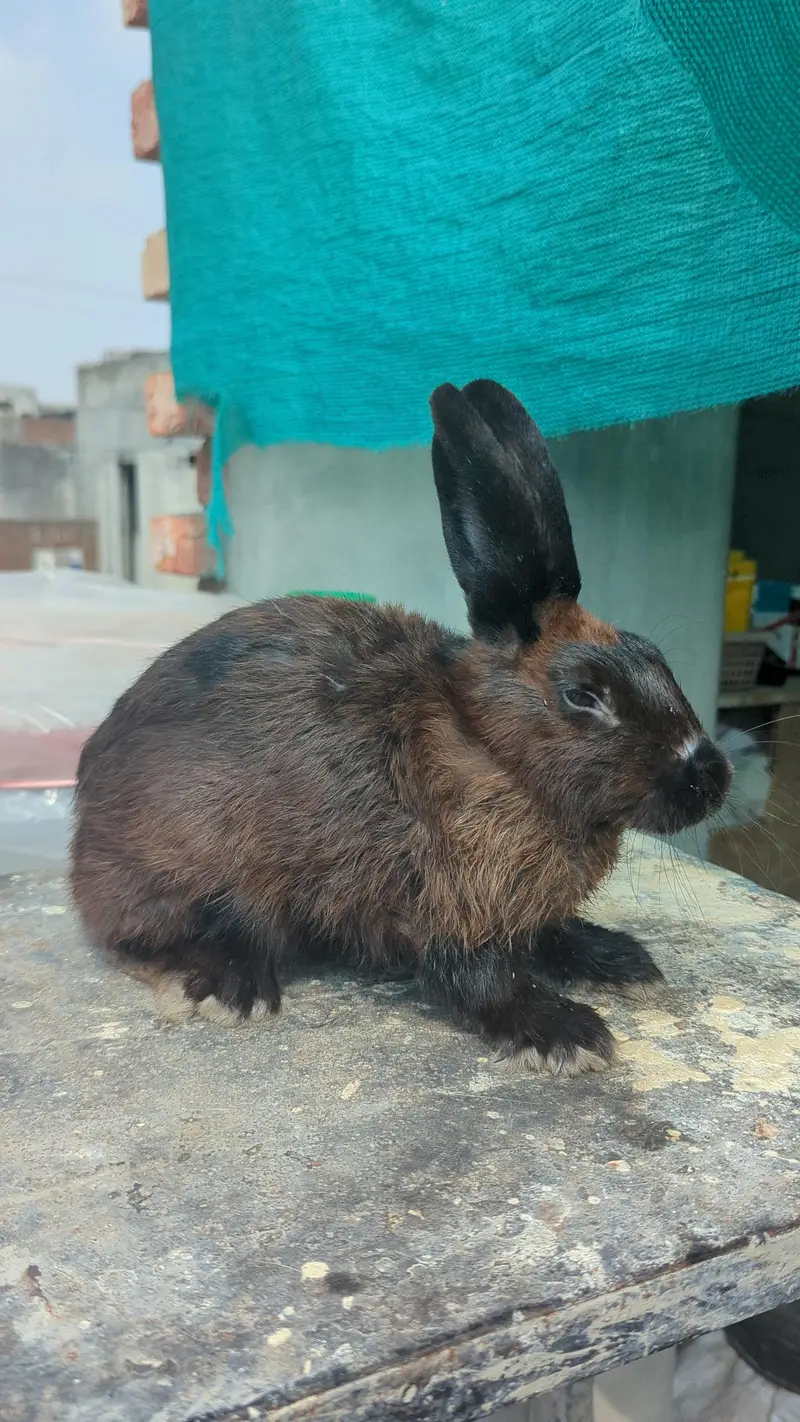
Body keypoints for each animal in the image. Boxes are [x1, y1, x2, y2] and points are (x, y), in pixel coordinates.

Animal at [70, 379, 731, 1075]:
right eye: (584, 695)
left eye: (652, 655)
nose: (711, 779)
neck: (491, 749)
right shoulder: (451, 906)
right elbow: (481, 979)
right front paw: (567, 1033)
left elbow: (549, 937)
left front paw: (621, 961)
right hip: (196, 867)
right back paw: (232, 989)